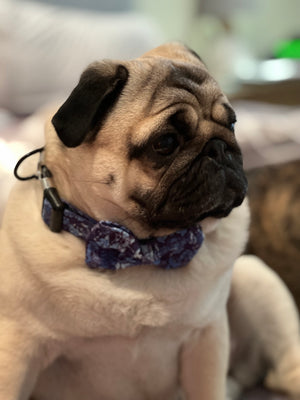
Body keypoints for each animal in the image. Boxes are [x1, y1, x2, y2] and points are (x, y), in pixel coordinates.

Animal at [0, 42, 248, 398]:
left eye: (232, 125)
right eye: (165, 143)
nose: (220, 148)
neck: (139, 249)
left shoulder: (207, 338)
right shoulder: (18, 350)